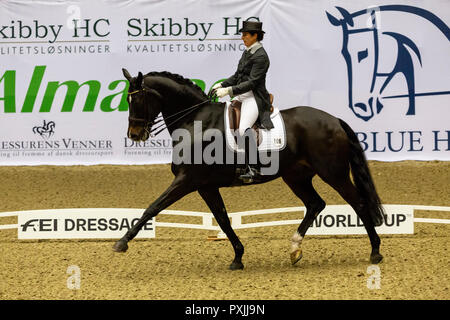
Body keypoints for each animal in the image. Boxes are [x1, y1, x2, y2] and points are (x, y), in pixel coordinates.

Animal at [114, 68, 384, 270]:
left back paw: (375, 252)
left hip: (333, 173)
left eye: (137, 99)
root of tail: (333, 119)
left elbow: (152, 207)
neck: (195, 122)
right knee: (315, 204)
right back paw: (295, 250)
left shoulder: (187, 180)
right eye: (127, 99)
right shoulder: (205, 186)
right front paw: (238, 257)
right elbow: (223, 220)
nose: (134, 135)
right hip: (296, 177)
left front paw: (122, 243)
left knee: (358, 203)